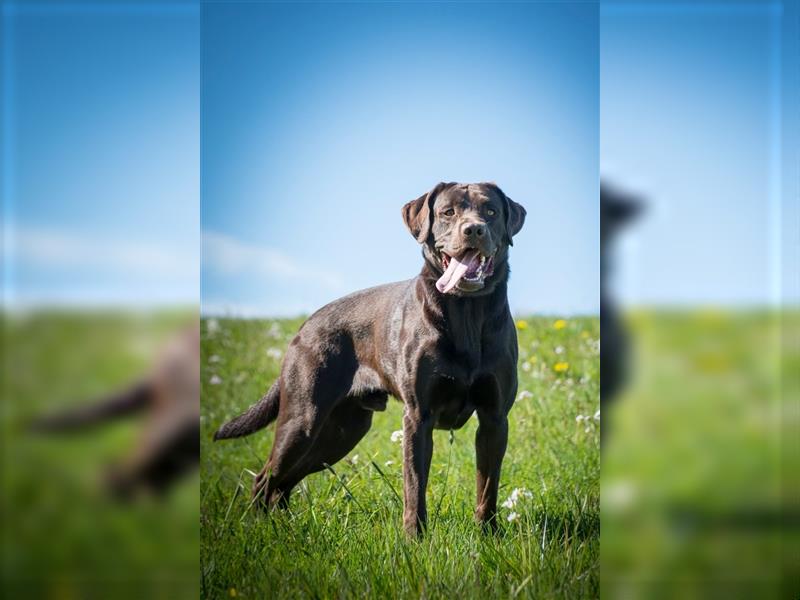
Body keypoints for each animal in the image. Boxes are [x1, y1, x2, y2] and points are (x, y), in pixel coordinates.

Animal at [214, 182, 524, 536]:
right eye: (448, 212)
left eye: (491, 211)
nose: (474, 229)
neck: (467, 313)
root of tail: (304, 327)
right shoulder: (418, 417)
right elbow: (414, 487)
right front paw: (414, 539)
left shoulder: (494, 418)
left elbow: (487, 486)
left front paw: (488, 535)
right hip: (302, 421)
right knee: (265, 479)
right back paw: (260, 530)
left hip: (340, 431)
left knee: (282, 484)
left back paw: (284, 531)